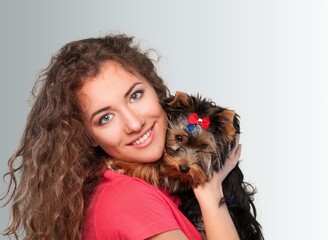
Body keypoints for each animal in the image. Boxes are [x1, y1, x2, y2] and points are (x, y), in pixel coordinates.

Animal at [107, 92, 264, 240]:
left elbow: (157, 168)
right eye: (179, 137)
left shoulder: (185, 179)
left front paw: (119, 163)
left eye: (203, 146)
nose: (183, 168)